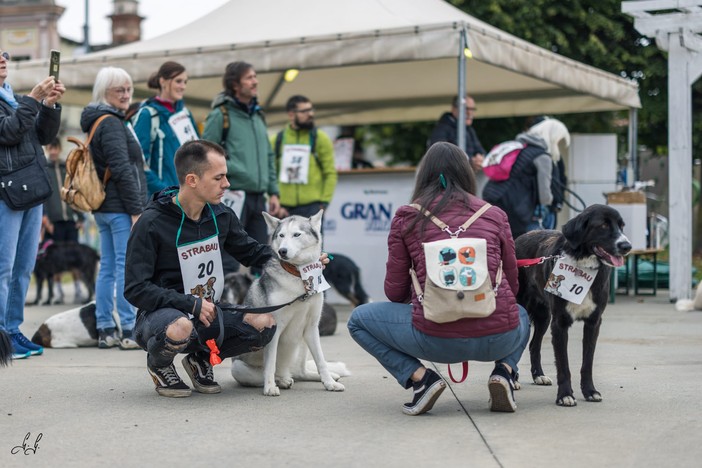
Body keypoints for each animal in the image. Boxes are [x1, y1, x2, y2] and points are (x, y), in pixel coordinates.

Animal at [231, 210, 350, 396]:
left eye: (296, 234)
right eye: (281, 235)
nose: (282, 251)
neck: (299, 276)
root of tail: (288, 370)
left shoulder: (312, 327)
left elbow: (321, 360)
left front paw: (329, 383)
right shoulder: (274, 328)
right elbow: (270, 364)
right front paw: (270, 387)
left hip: (302, 341)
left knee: (301, 371)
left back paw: (323, 376)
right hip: (238, 367)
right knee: (270, 373)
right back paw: (281, 380)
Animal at [516, 204, 632, 406]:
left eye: (621, 226)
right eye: (603, 225)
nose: (627, 246)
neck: (582, 266)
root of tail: (520, 237)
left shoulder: (593, 322)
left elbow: (587, 363)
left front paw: (590, 391)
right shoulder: (560, 323)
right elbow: (563, 364)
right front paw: (565, 395)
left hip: (544, 317)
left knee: (534, 345)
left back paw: (539, 376)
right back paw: (511, 380)